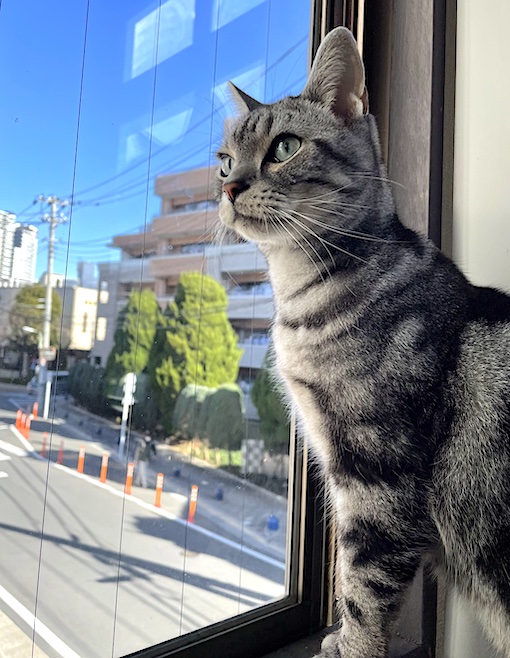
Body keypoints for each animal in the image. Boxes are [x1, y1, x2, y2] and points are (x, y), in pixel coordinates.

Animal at [213, 24, 510, 656]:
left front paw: (350, 647)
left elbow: (364, 586)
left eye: (283, 148)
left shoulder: (379, 474)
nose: (229, 187)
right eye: (224, 161)